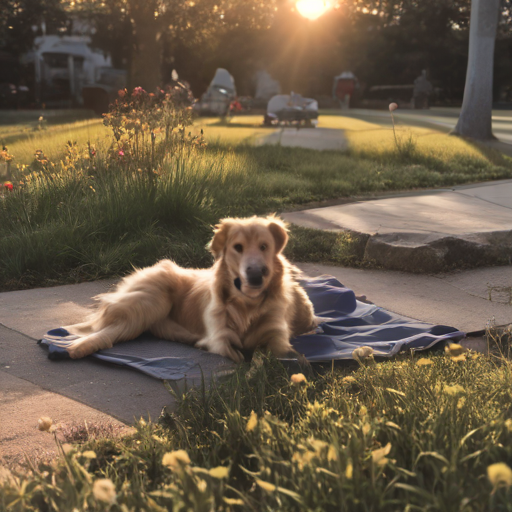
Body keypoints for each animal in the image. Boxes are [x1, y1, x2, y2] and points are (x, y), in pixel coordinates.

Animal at [62, 216, 318, 364]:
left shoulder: (277, 334)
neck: (247, 304)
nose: (256, 275)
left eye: (264, 247)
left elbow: (292, 355)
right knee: (111, 328)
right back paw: (78, 347)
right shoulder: (218, 338)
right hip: (154, 301)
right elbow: (234, 354)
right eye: (238, 247)